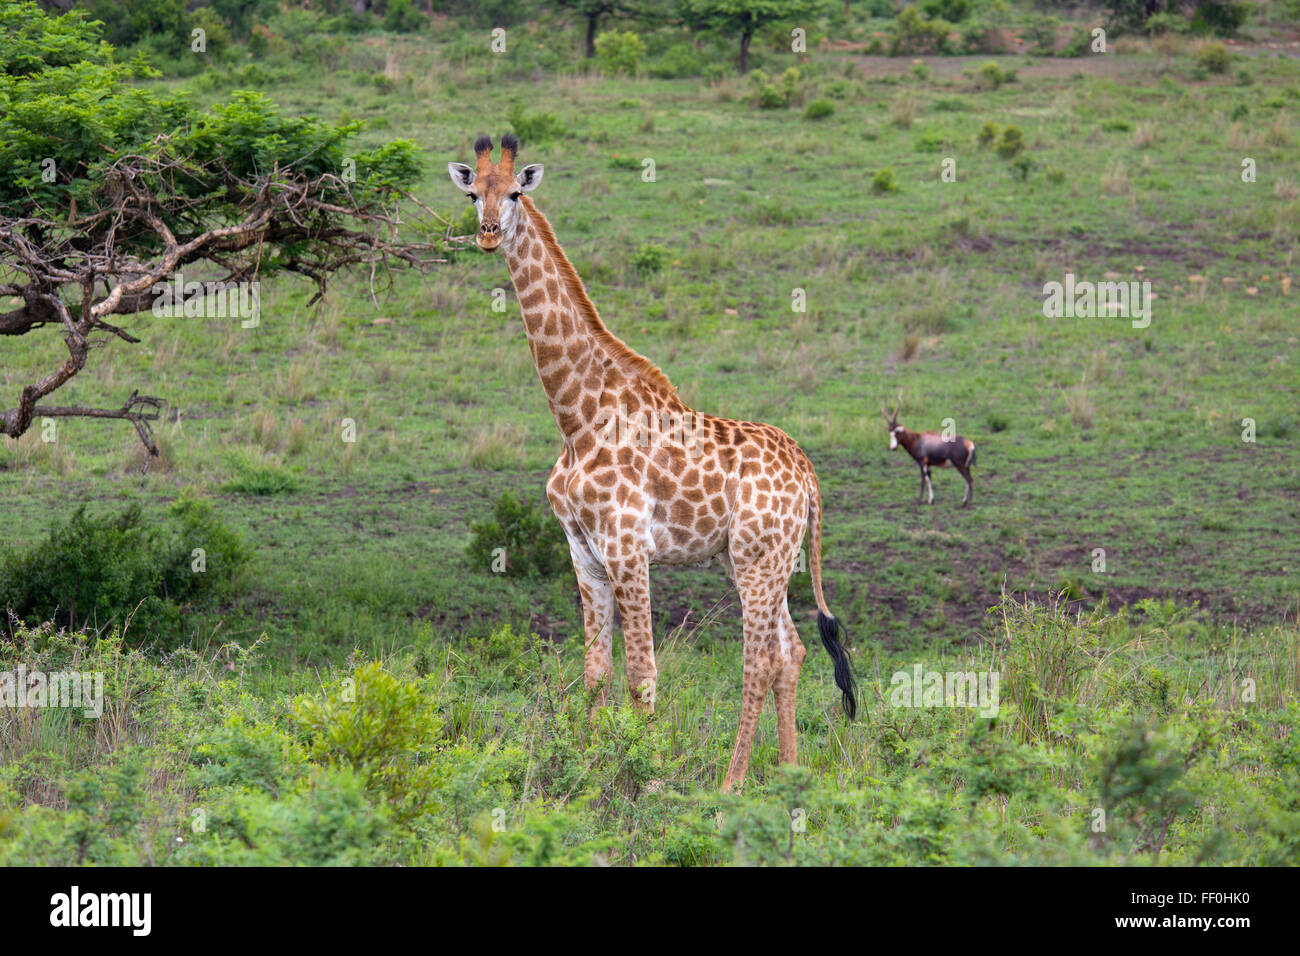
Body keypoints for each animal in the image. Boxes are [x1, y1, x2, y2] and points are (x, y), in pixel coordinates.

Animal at [449, 134, 856, 792]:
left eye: (513, 193)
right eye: (471, 194)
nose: (487, 234)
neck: (577, 417)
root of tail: (808, 474)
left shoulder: (627, 548)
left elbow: (642, 676)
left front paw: (646, 777)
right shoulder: (583, 552)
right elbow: (596, 672)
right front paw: (589, 772)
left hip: (759, 559)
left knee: (759, 659)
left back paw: (731, 783)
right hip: (756, 558)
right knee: (790, 650)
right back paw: (788, 773)